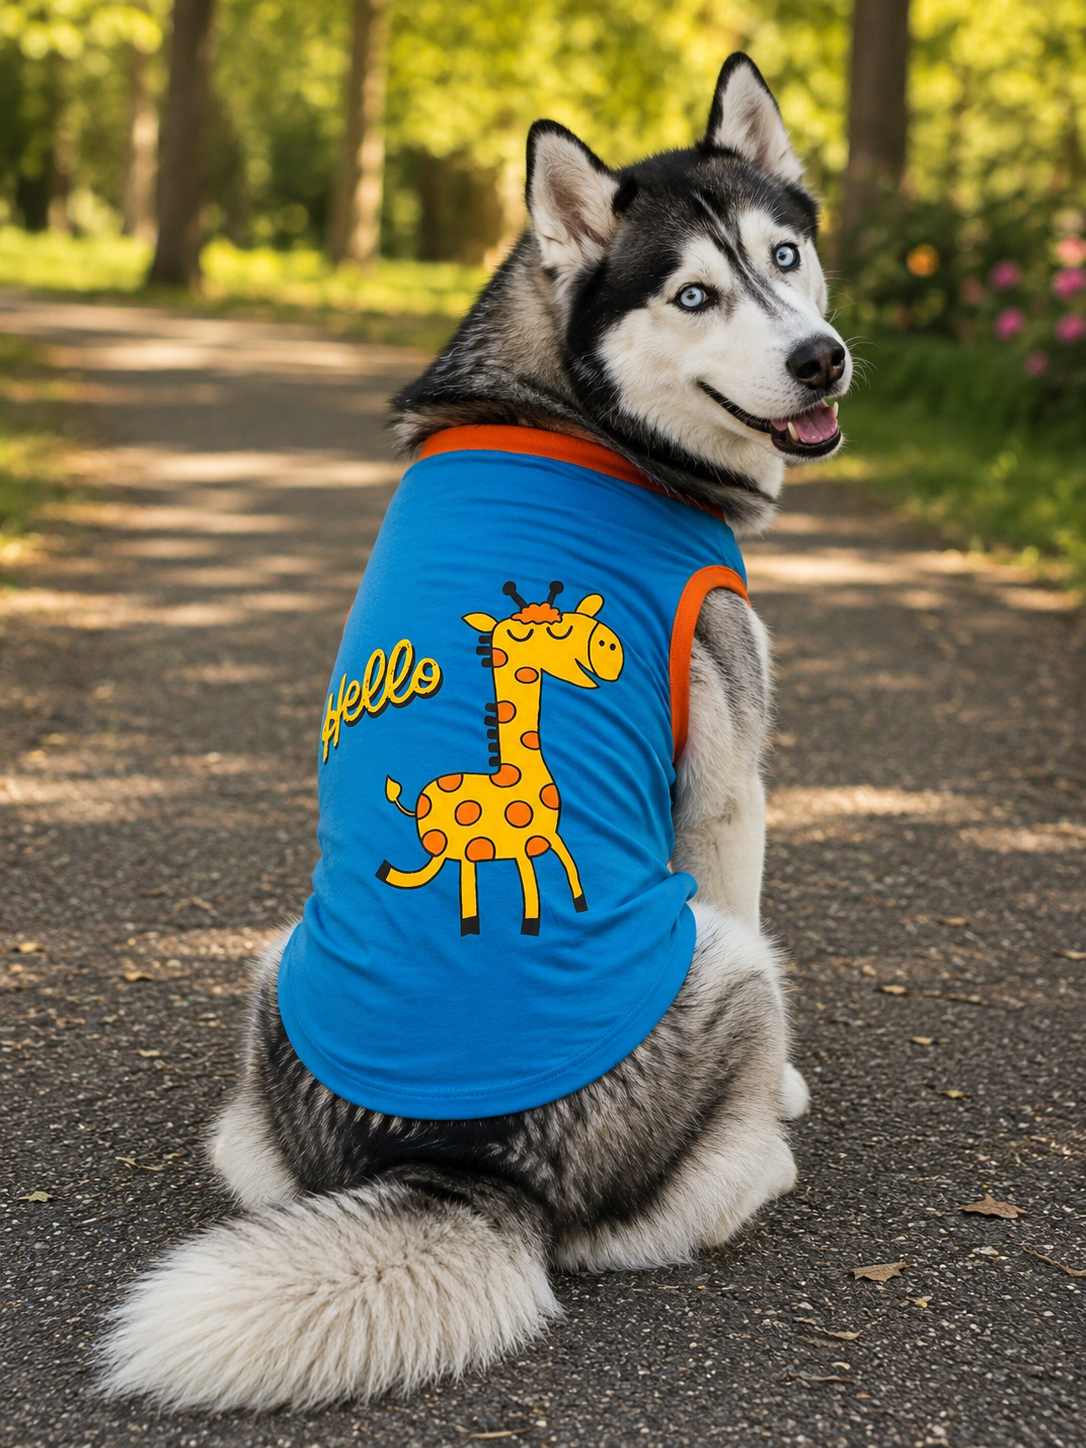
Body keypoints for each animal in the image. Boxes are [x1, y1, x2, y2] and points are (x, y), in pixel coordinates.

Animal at [377, 580, 624, 935]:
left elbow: (569, 865)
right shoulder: (523, 846)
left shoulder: (548, 837)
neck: (517, 774)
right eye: (548, 630)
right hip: (458, 848)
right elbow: (532, 887)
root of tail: (416, 804)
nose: (611, 647)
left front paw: (579, 902)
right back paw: (469, 925)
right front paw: (531, 924)